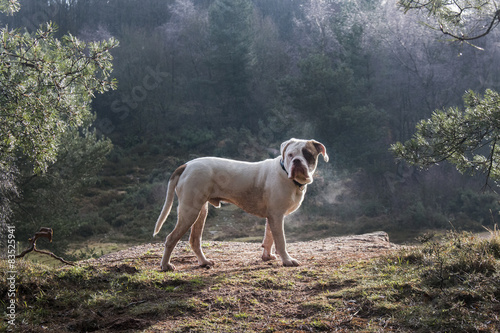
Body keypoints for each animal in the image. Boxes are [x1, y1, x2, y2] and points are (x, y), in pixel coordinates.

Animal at [154, 137, 330, 270]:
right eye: (290, 155)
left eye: (308, 154)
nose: (297, 161)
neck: (287, 174)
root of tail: (186, 165)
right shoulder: (277, 215)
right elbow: (280, 240)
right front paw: (287, 260)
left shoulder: (273, 216)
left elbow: (269, 237)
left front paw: (267, 256)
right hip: (189, 211)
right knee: (171, 239)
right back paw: (165, 265)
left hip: (200, 211)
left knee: (194, 240)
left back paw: (204, 262)